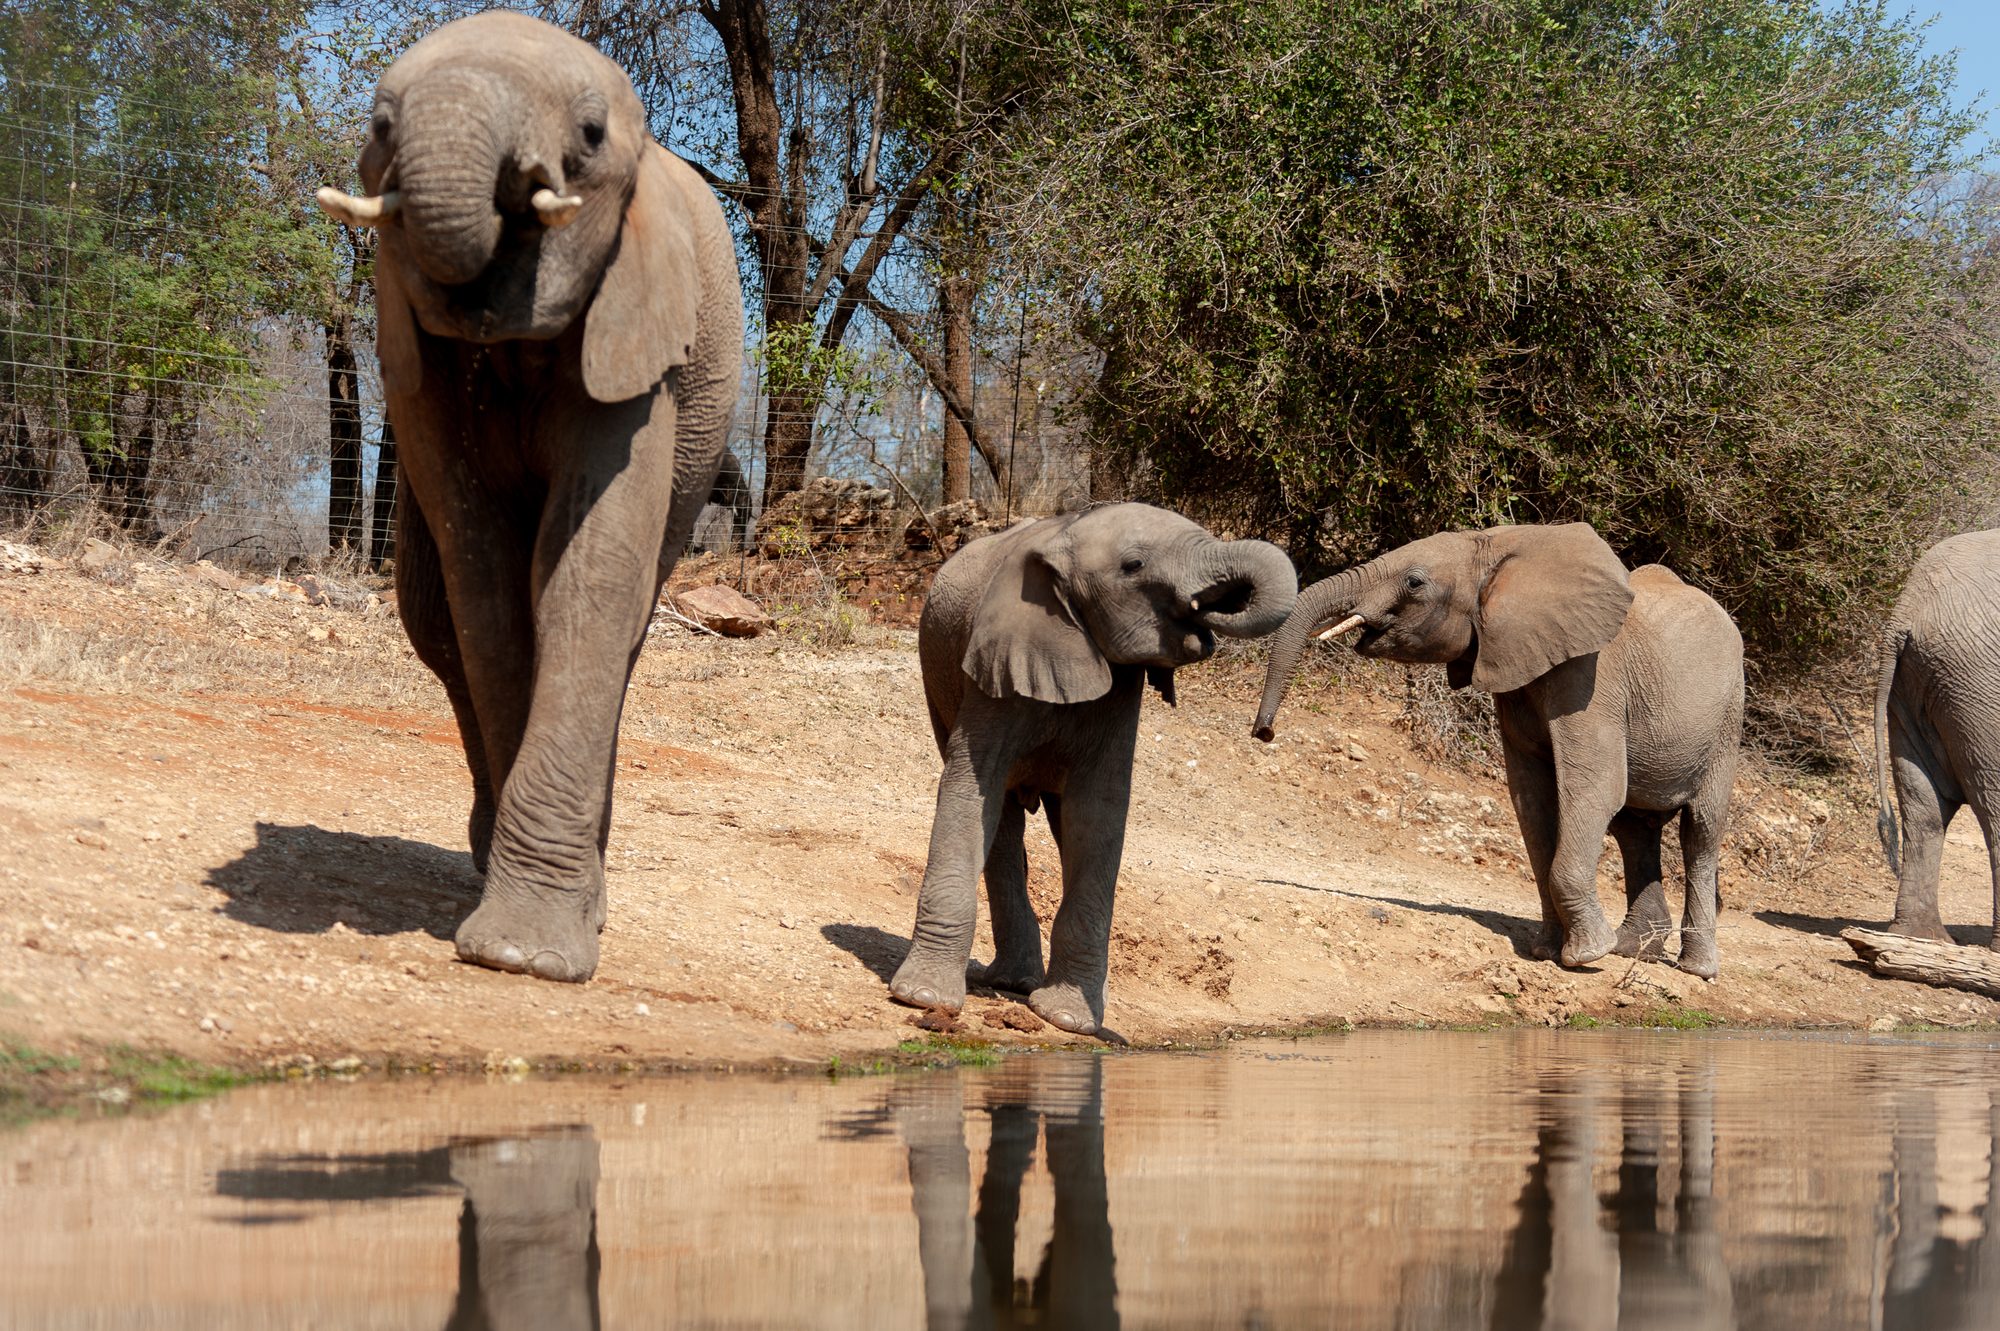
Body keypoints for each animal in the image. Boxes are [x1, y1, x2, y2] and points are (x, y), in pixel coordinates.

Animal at [315, 12, 743, 980]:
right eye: (380, 126)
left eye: (589, 135)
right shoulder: (419, 367)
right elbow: (488, 587)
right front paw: (531, 932)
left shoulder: (636, 344)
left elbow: (586, 578)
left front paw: (532, 954)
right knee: (434, 620)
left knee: (628, 621)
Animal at [891, 502, 1297, 1035]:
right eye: (1133, 566)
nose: (1263, 733)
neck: (1068, 534)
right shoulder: (994, 660)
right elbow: (972, 788)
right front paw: (920, 998)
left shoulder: (1120, 684)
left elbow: (1097, 811)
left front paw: (1069, 1021)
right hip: (936, 680)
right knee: (1004, 823)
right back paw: (1012, 983)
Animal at [1253, 523, 1742, 977]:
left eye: (1414, 582)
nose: (1264, 733)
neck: (1499, 547)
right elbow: (1531, 800)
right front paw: (1546, 952)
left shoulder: (1592, 679)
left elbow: (1593, 791)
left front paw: (1585, 957)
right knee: (1634, 828)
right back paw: (1632, 950)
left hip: (1729, 717)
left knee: (1700, 830)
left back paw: (1695, 969)